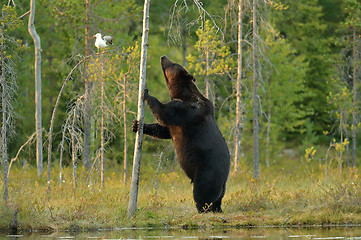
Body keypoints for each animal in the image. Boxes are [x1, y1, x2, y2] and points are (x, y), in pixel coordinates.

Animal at [133, 55, 231, 212]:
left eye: (173, 63)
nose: (163, 56)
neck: (181, 93)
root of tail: (225, 177)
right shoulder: (178, 122)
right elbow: (163, 130)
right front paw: (136, 125)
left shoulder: (187, 111)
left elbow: (164, 113)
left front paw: (146, 93)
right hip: (220, 183)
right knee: (218, 197)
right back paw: (216, 208)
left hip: (207, 171)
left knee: (202, 191)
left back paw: (202, 209)